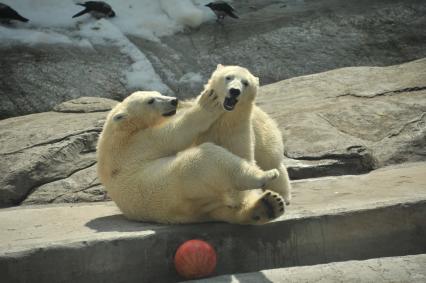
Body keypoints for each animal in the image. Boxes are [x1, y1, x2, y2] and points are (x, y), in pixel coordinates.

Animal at [95, 90, 284, 224]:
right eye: (150, 100)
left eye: (158, 93)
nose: (174, 100)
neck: (119, 130)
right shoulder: (139, 143)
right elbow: (175, 134)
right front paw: (208, 103)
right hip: (181, 185)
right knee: (208, 159)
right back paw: (265, 176)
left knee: (225, 211)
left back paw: (269, 205)